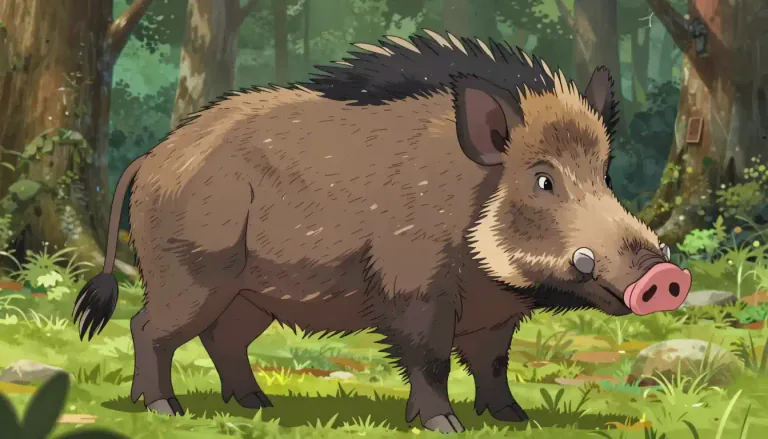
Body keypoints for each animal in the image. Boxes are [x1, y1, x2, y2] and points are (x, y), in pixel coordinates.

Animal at [73, 30, 692, 434]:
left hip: (249, 293)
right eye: (543, 180)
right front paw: (444, 426)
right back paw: (164, 411)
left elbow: (493, 363)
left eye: (604, 174)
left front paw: (515, 419)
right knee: (148, 327)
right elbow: (430, 358)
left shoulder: (495, 312)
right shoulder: (412, 287)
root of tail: (152, 158)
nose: (665, 276)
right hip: (189, 273)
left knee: (222, 340)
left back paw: (257, 405)